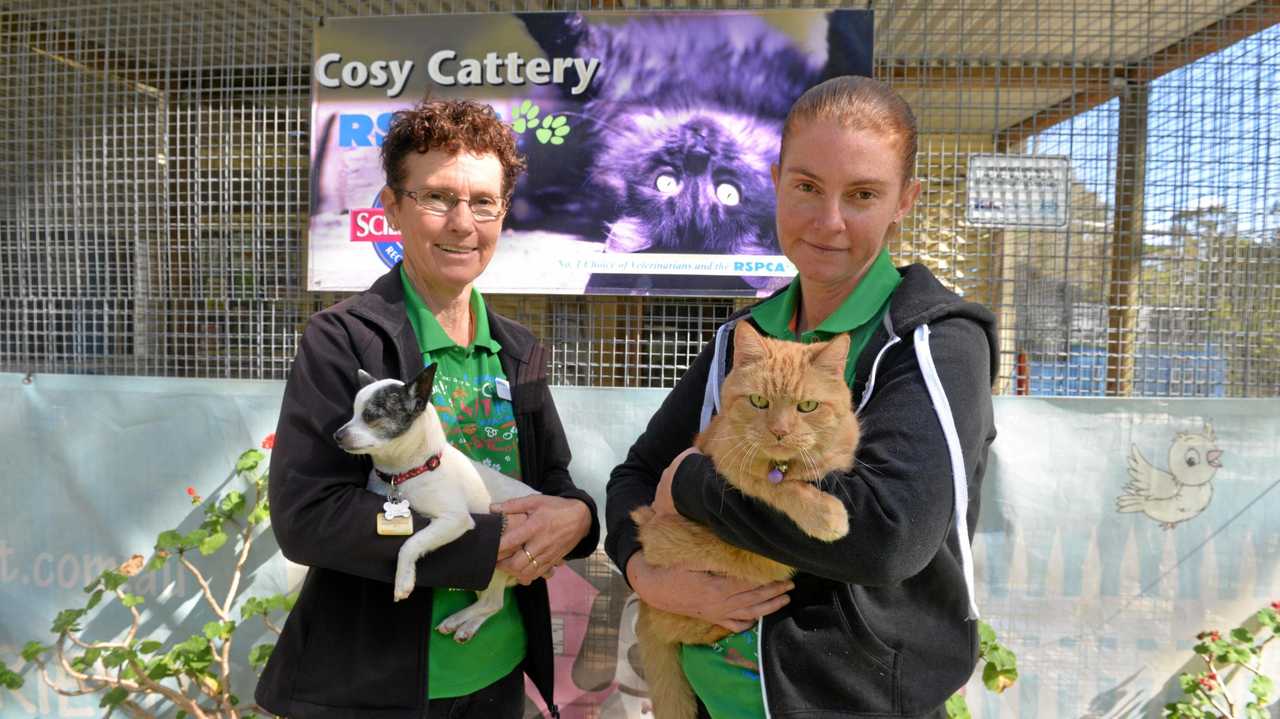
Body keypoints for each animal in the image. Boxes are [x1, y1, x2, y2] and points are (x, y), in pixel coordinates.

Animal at [332, 363, 537, 637]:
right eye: (351, 414)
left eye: (371, 416)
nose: (337, 434)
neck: (406, 473)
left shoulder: (455, 520)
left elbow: (411, 543)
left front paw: (403, 580)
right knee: (491, 603)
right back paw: (464, 624)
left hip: (497, 568)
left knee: (493, 603)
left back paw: (460, 621)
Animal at [629, 323, 860, 716]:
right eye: (758, 402)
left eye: (807, 406)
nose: (780, 432)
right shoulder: (730, 465)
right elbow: (779, 488)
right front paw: (824, 513)